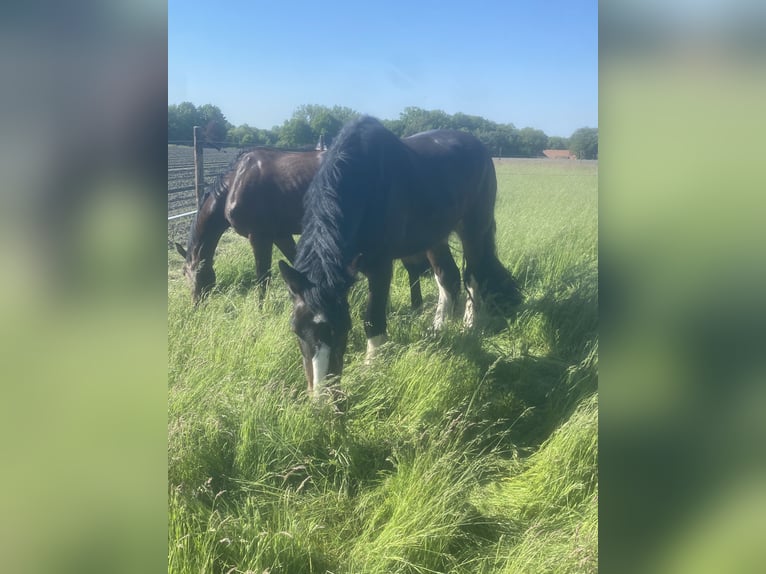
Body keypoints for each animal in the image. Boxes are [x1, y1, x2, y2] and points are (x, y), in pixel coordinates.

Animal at [176, 148, 438, 310]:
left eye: (192, 274)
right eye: (183, 274)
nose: (195, 306)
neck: (236, 182)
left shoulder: (259, 237)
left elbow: (262, 277)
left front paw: (260, 310)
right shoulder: (280, 234)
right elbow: (294, 262)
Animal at [280, 116, 524, 396]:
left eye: (342, 329)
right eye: (296, 330)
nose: (321, 397)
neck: (363, 182)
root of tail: (480, 148)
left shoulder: (380, 267)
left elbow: (373, 319)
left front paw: (372, 368)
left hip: (474, 228)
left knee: (472, 276)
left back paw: (469, 326)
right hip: (435, 236)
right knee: (447, 277)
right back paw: (437, 329)